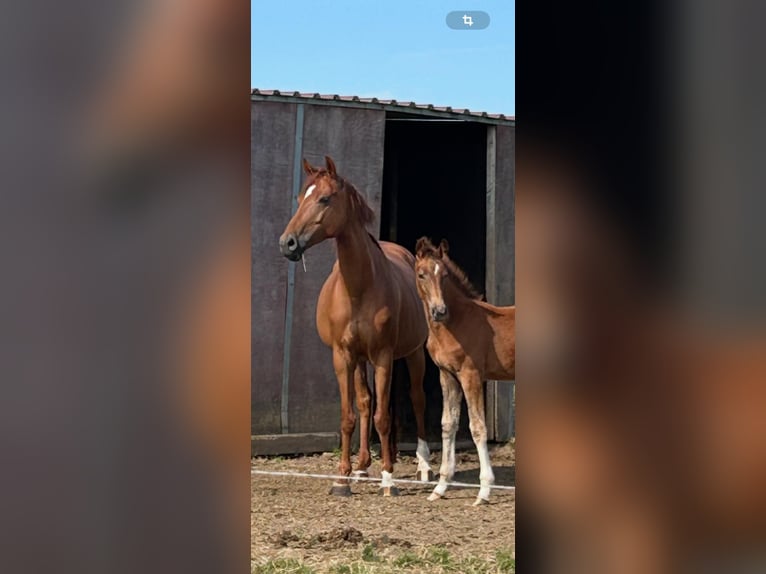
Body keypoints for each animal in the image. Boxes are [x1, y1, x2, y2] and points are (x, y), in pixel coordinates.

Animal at [278, 156, 433, 496]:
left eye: (324, 198)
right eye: (300, 197)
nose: (287, 243)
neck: (359, 288)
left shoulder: (384, 356)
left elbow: (384, 417)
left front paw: (388, 479)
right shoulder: (343, 356)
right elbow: (350, 415)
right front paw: (342, 478)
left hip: (413, 353)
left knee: (416, 399)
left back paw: (424, 465)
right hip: (362, 361)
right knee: (366, 402)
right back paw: (363, 467)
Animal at [414, 237, 516, 505]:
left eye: (445, 275)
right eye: (421, 274)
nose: (439, 311)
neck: (457, 323)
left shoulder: (471, 375)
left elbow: (477, 427)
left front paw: (484, 490)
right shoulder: (447, 375)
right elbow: (448, 424)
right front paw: (440, 487)